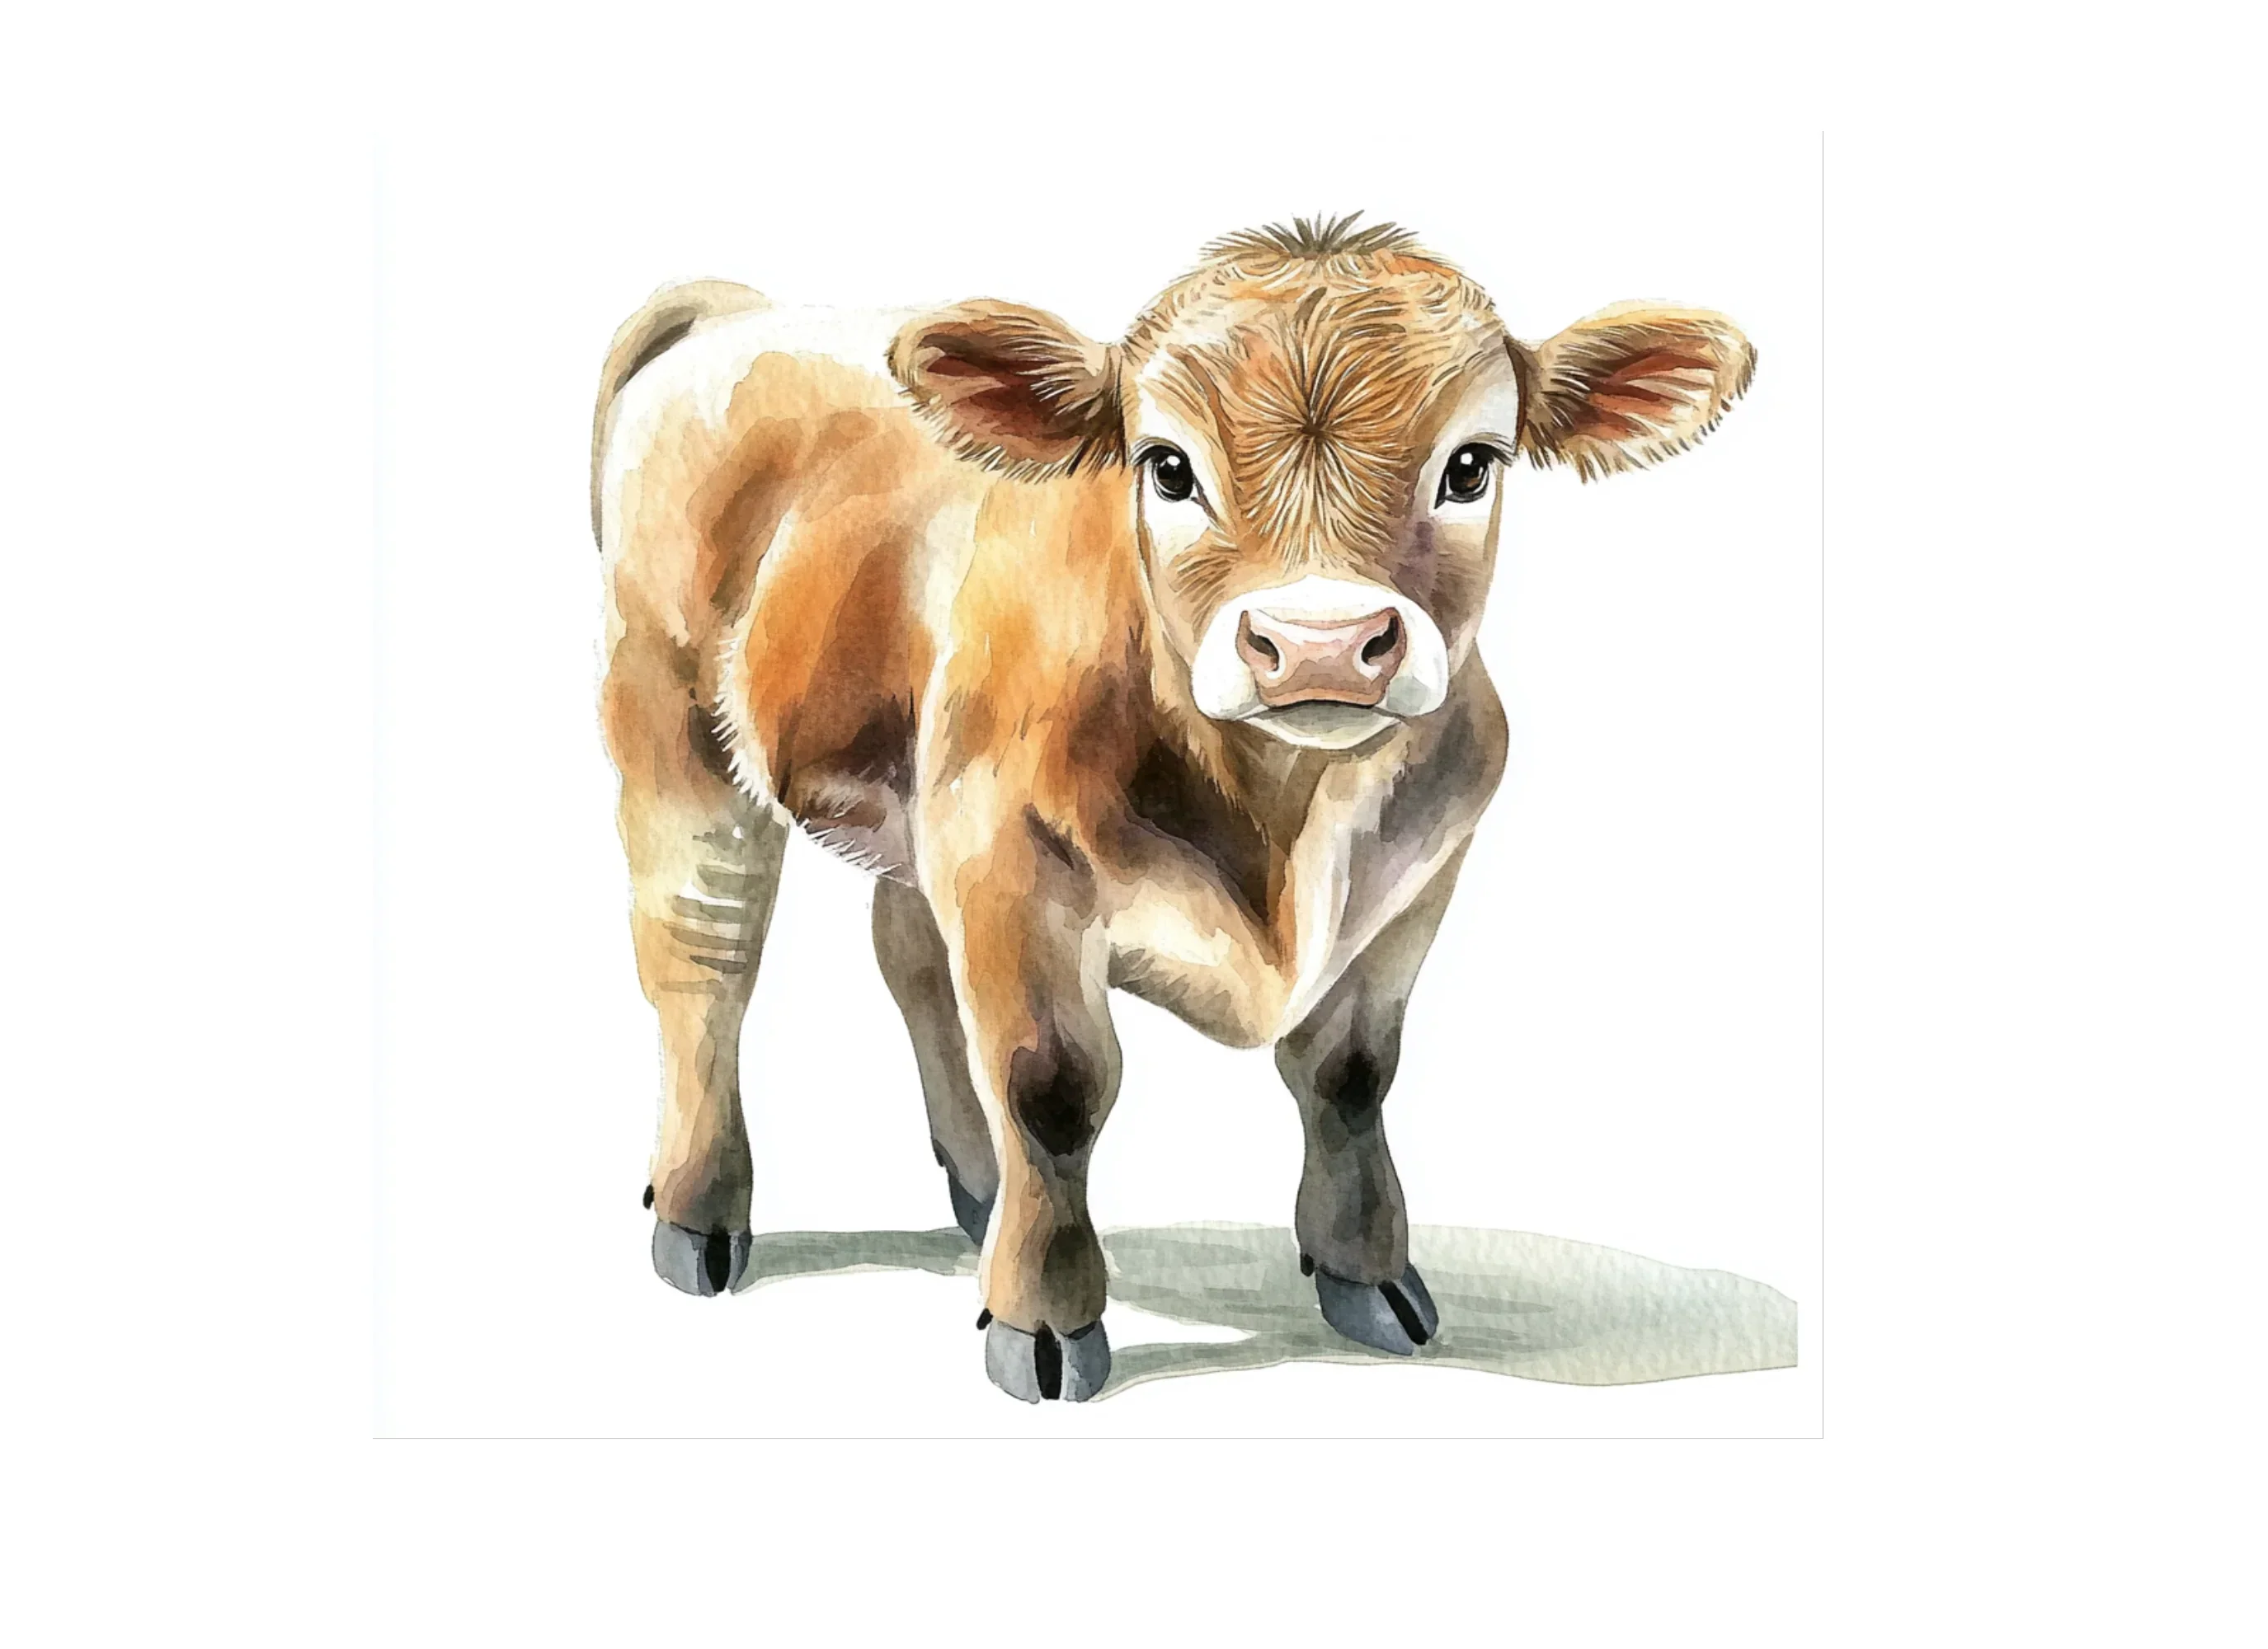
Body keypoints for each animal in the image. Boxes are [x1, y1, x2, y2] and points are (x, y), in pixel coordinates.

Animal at [590, 216, 1753, 1402]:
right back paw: (698, 1209)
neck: (1282, 816)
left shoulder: (1418, 881)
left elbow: (1349, 1074)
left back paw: (976, 1191)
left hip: (923, 796)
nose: (1320, 644)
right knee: (702, 959)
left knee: (907, 952)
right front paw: (1043, 1316)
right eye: (1167, 465)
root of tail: (743, 309)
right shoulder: (1015, 867)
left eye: (1471, 465)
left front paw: (1364, 1269)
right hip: (670, 723)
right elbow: (1050, 1087)